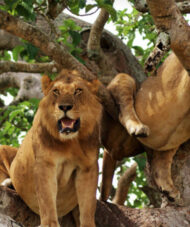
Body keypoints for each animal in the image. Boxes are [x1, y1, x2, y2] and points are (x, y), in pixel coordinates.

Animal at [0, 69, 102, 227]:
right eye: (56, 91)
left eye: (78, 91)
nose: (65, 107)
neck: (70, 142)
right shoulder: (45, 164)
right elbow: (46, 198)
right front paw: (49, 224)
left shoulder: (88, 167)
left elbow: (88, 204)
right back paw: (8, 182)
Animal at [100, 52, 189, 204]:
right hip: (125, 80)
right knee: (124, 110)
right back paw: (138, 127)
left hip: (169, 143)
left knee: (159, 164)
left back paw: (169, 190)